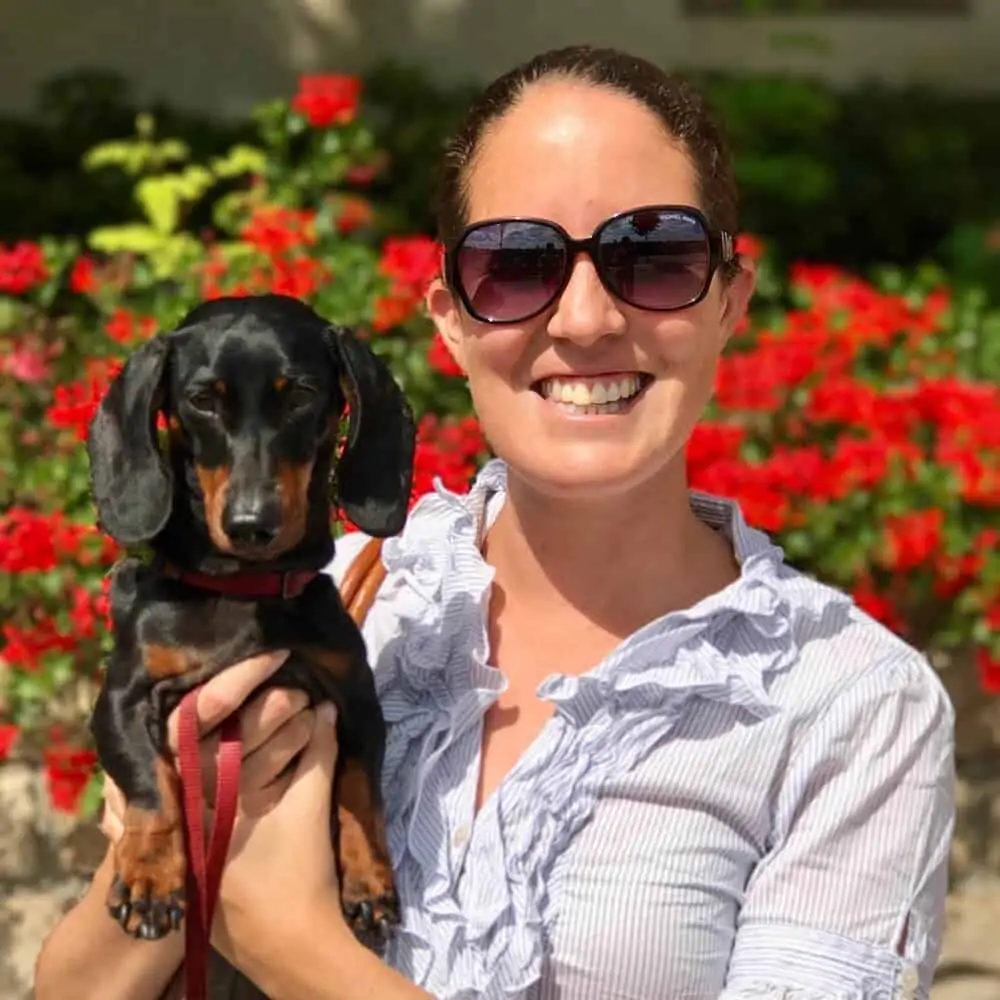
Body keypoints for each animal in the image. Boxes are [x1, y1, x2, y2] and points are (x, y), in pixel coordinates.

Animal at [84, 290, 414, 976]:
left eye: (302, 395)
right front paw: (151, 879)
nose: (250, 524)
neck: (245, 590)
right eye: (202, 400)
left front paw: (369, 881)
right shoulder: (120, 700)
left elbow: (358, 788)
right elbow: (152, 782)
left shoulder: (357, 700)